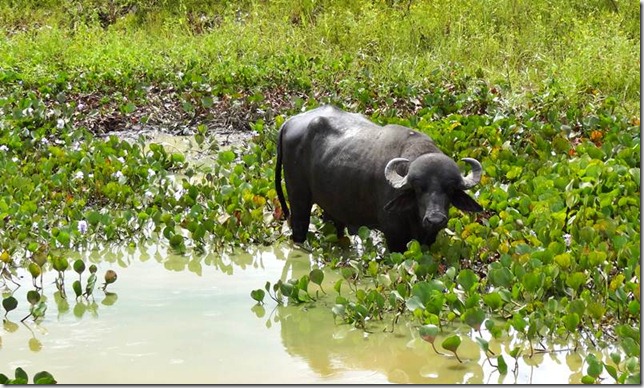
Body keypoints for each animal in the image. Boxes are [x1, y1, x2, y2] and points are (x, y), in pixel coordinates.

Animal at [272, 104, 484, 253]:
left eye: (450, 189)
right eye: (418, 188)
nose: (435, 219)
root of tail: (290, 121)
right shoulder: (394, 236)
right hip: (298, 199)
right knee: (299, 228)